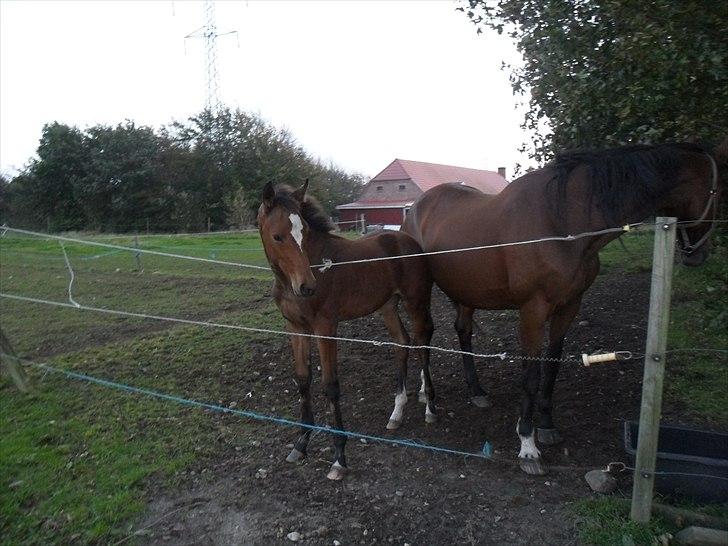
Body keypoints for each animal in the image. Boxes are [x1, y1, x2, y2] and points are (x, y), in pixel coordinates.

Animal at [258, 178, 436, 476]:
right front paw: (300, 444)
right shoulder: (295, 327)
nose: (307, 286)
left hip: (416, 302)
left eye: (304, 231)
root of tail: (408, 240)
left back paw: (430, 407)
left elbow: (330, 385)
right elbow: (302, 379)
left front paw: (339, 457)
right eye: (277, 236)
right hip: (388, 306)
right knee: (402, 342)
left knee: (423, 341)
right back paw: (397, 413)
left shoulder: (326, 327)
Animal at [400, 142, 720, 474]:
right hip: (422, 290)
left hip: (466, 292)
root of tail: (417, 207)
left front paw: (547, 426)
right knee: (423, 334)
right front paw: (527, 446)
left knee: (460, 332)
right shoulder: (533, 310)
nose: (699, 254)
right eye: (718, 190)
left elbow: (551, 366)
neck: (562, 222)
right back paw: (428, 398)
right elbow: (530, 374)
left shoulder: (569, 307)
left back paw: (471, 391)